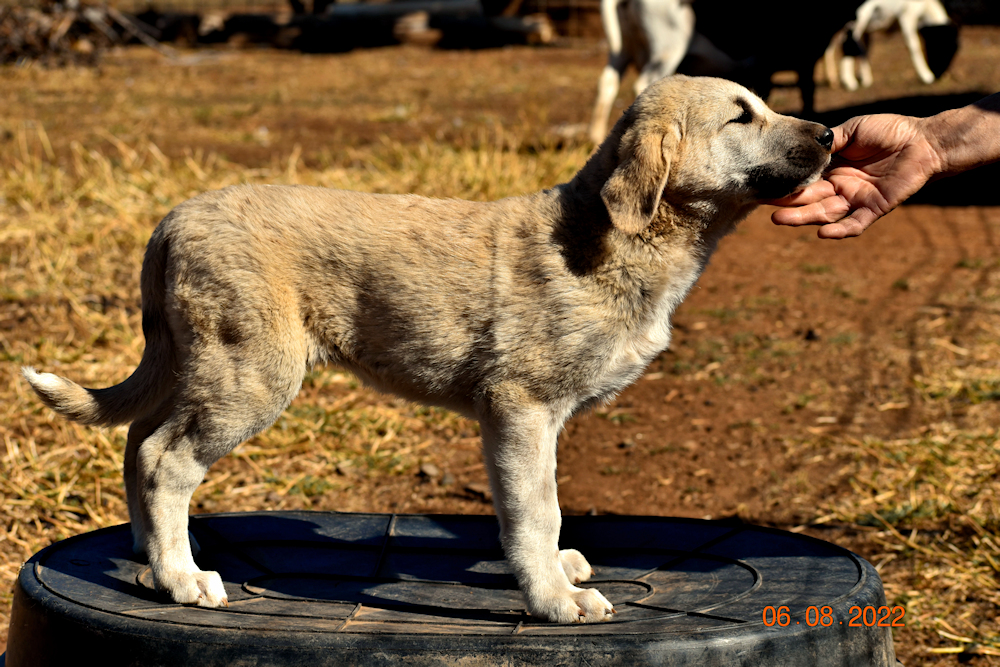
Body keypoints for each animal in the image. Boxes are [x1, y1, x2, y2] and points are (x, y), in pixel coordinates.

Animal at [25, 75, 836, 624]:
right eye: (741, 115)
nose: (831, 136)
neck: (620, 239)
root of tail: (172, 219)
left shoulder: (541, 420)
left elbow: (547, 506)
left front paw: (558, 571)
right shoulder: (518, 408)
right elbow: (535, 510)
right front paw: (553, 597)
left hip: (196, 364)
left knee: (137, 440)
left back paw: (149, 556)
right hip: (247, 375)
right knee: (165, 458)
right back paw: (184, 579)